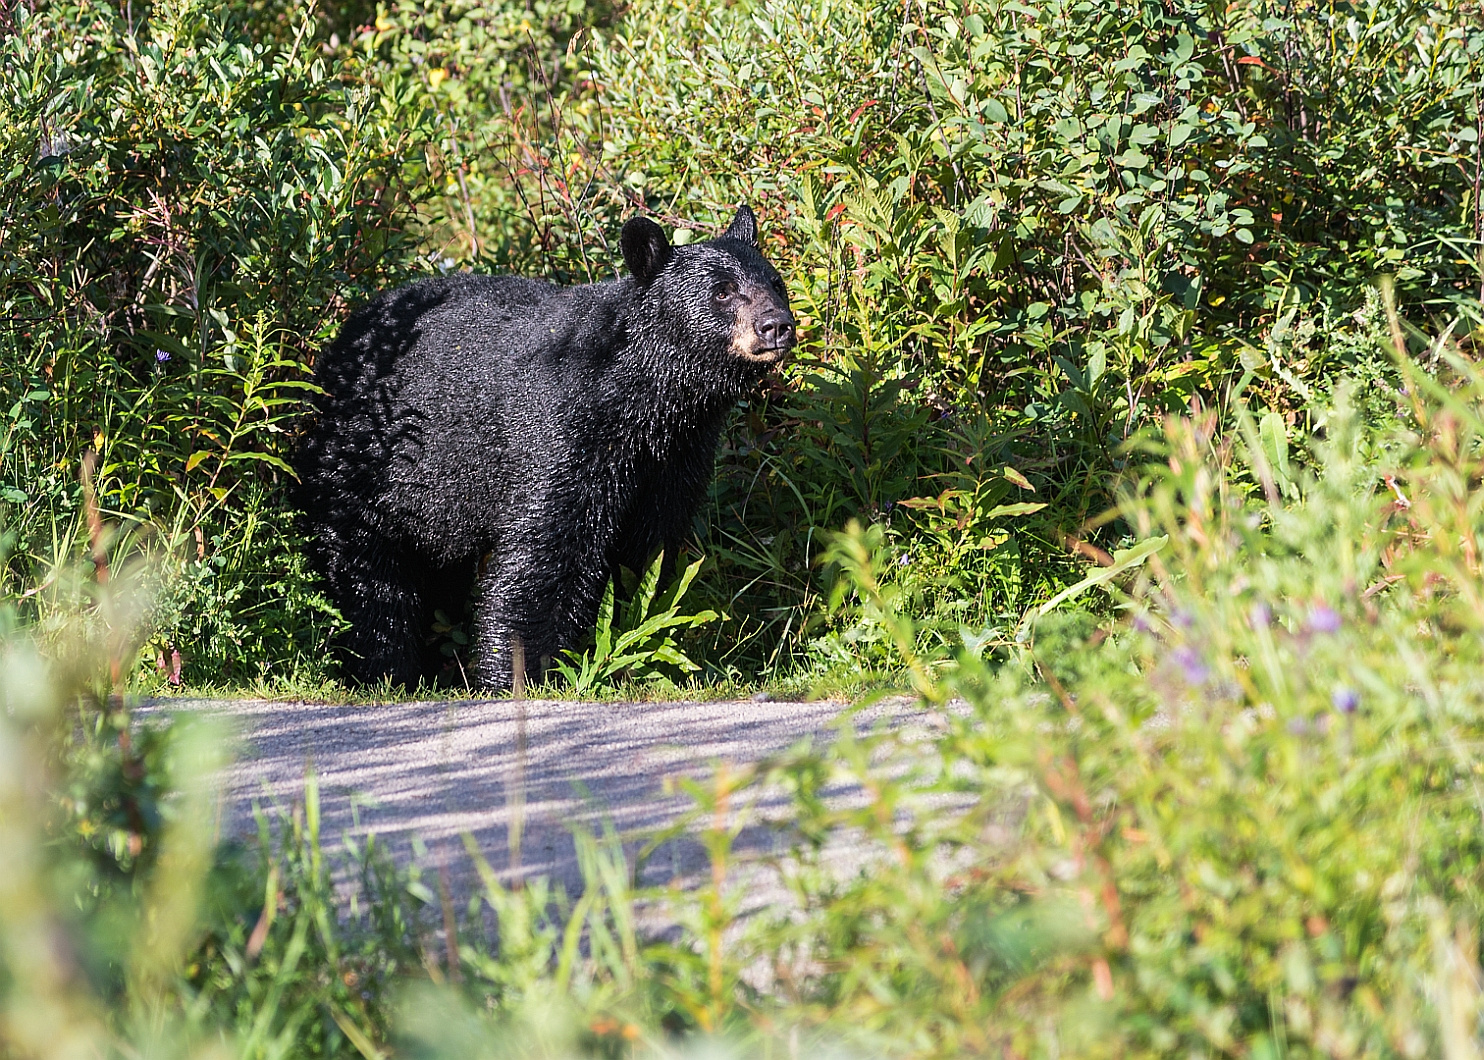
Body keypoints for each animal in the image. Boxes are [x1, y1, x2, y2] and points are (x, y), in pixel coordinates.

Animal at [293, 207, 795, 688]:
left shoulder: (676, 455)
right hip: (362, 463)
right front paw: (523, 673)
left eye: (776, 282)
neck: (645, 396)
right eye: (723, 291)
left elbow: (646, 547)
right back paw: (385, 670)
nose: (776, 326)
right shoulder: (566, 431)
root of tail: (337, 347)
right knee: (367, 575)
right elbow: (546, 550)